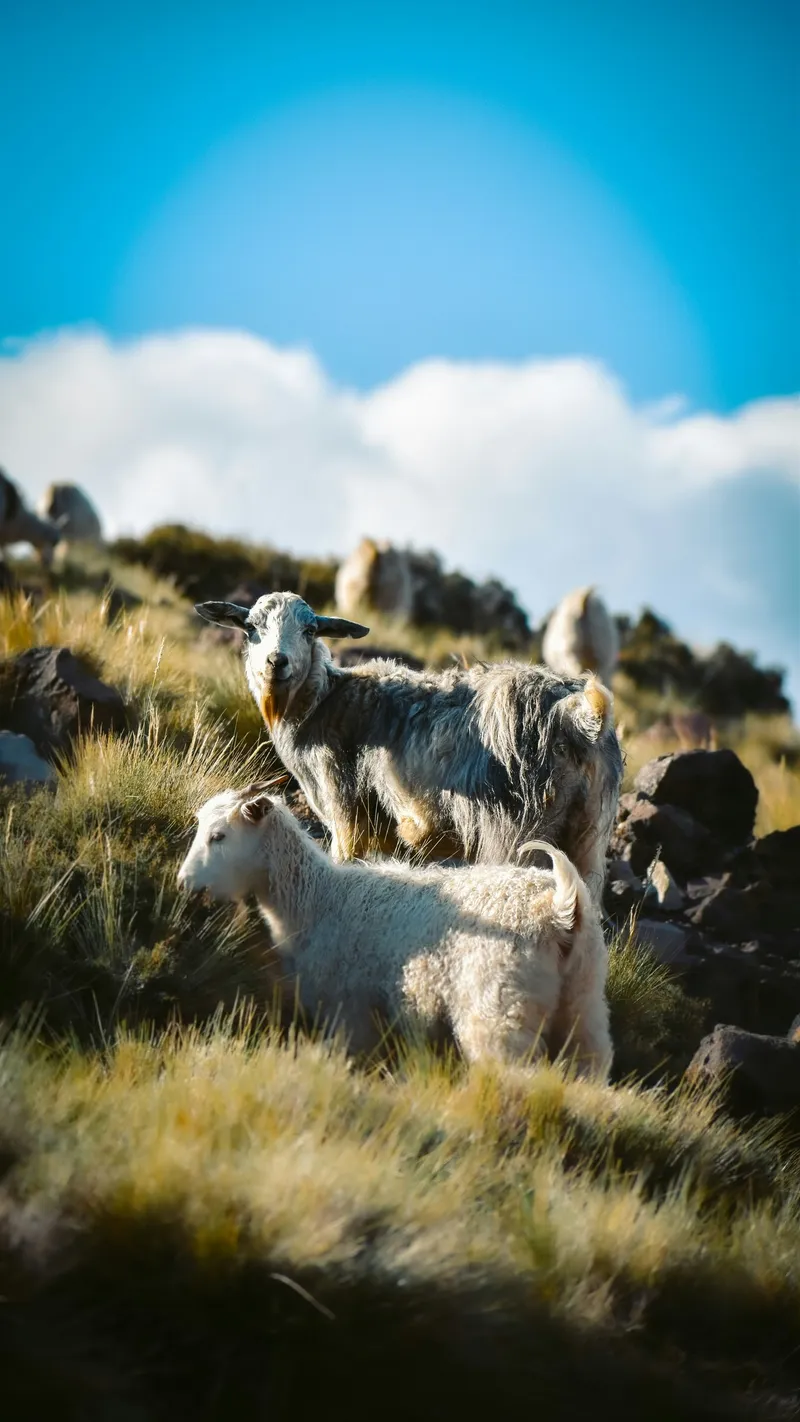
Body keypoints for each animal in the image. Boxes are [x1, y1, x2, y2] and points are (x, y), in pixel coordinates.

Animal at [178, 786, 612, 1078]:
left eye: (218, 836)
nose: (185, 883)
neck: (317, 899)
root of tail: (558, 909)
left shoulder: (351, 1014)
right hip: (583, 1003)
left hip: (500, 1010)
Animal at [194, 593, 623, 902]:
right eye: (251, 627)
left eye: (310, 629)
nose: (276, 661)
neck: (319, 704)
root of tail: (578, 715)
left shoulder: (348, 810)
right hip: (588, 836)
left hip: (515, 830)